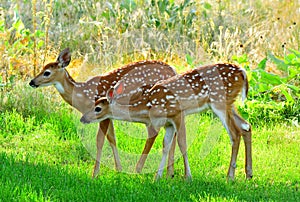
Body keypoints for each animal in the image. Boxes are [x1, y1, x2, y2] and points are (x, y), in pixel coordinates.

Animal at [29, 48, 180, 178]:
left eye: (47, 72)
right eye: (42, 69)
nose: (32, 82)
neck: (83, 94)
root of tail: (174, 71)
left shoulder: (103, 114)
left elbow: (100, 141)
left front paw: (95, 174)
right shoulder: (108, 115)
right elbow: (112, 139)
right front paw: (119, 169)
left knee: (154, 134)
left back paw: (140, 169)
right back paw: (169, 173)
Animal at [80, 62, 253, 180]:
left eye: (98, 108)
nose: (83, 118)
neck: (149, 105)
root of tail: (243, 72)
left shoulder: (178, 113)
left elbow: (182, 143)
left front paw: (188, 177)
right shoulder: (168, 123)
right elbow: (166, 145)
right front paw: (158, 177)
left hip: (220, 102)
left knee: (235, 134)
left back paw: (230, 176)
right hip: (230, 104)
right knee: (246, 126)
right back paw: (248, 173)